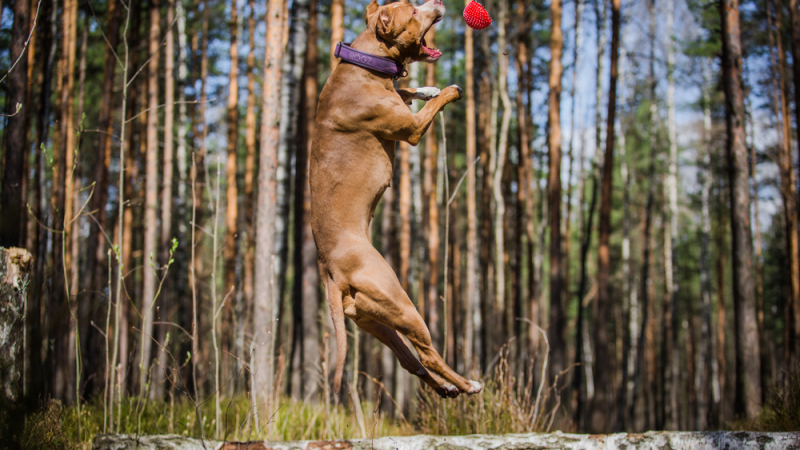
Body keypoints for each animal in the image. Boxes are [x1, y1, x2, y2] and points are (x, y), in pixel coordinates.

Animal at [308, 0, 482, 400]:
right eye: (413, 12)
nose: (437, 2)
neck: (365, 63)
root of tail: (332, 273)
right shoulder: (413, 129)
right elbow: (427, 107)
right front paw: (446, 89)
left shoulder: (398, 101)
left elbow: (406, 90)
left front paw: (427, 87)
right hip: (402, 304)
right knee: (428, 354)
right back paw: (467, 384)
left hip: (375, 321)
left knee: (410, 361)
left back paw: (446, 389)